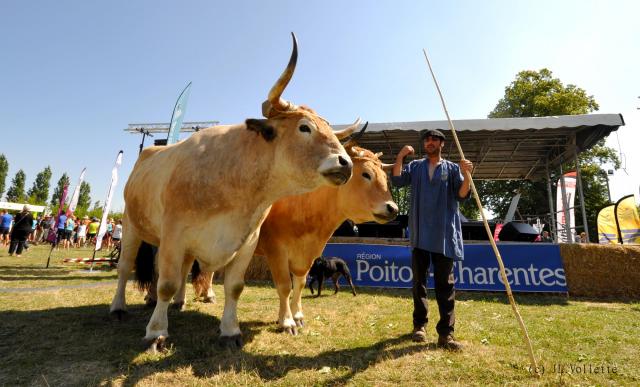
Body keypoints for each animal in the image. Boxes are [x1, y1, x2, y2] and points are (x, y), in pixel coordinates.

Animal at [107, 34, 358, 352]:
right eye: (305, 127)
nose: (346, 163)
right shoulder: (174, 235)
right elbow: (165, 283)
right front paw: (156, 332)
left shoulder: (247, 241)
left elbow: (234, 286)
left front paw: (230, 331)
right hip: (131, 225)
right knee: (126, 267)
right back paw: (119, 308)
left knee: (180, 271)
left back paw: (178, 302)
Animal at [186, 144, 396, 334]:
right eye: (366, 174)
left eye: (385, 177)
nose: (393, 208)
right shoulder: (276, 250)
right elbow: (285, 286)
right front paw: (287, 322)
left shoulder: (306, 256)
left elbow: (300, 284)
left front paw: (297, 316)